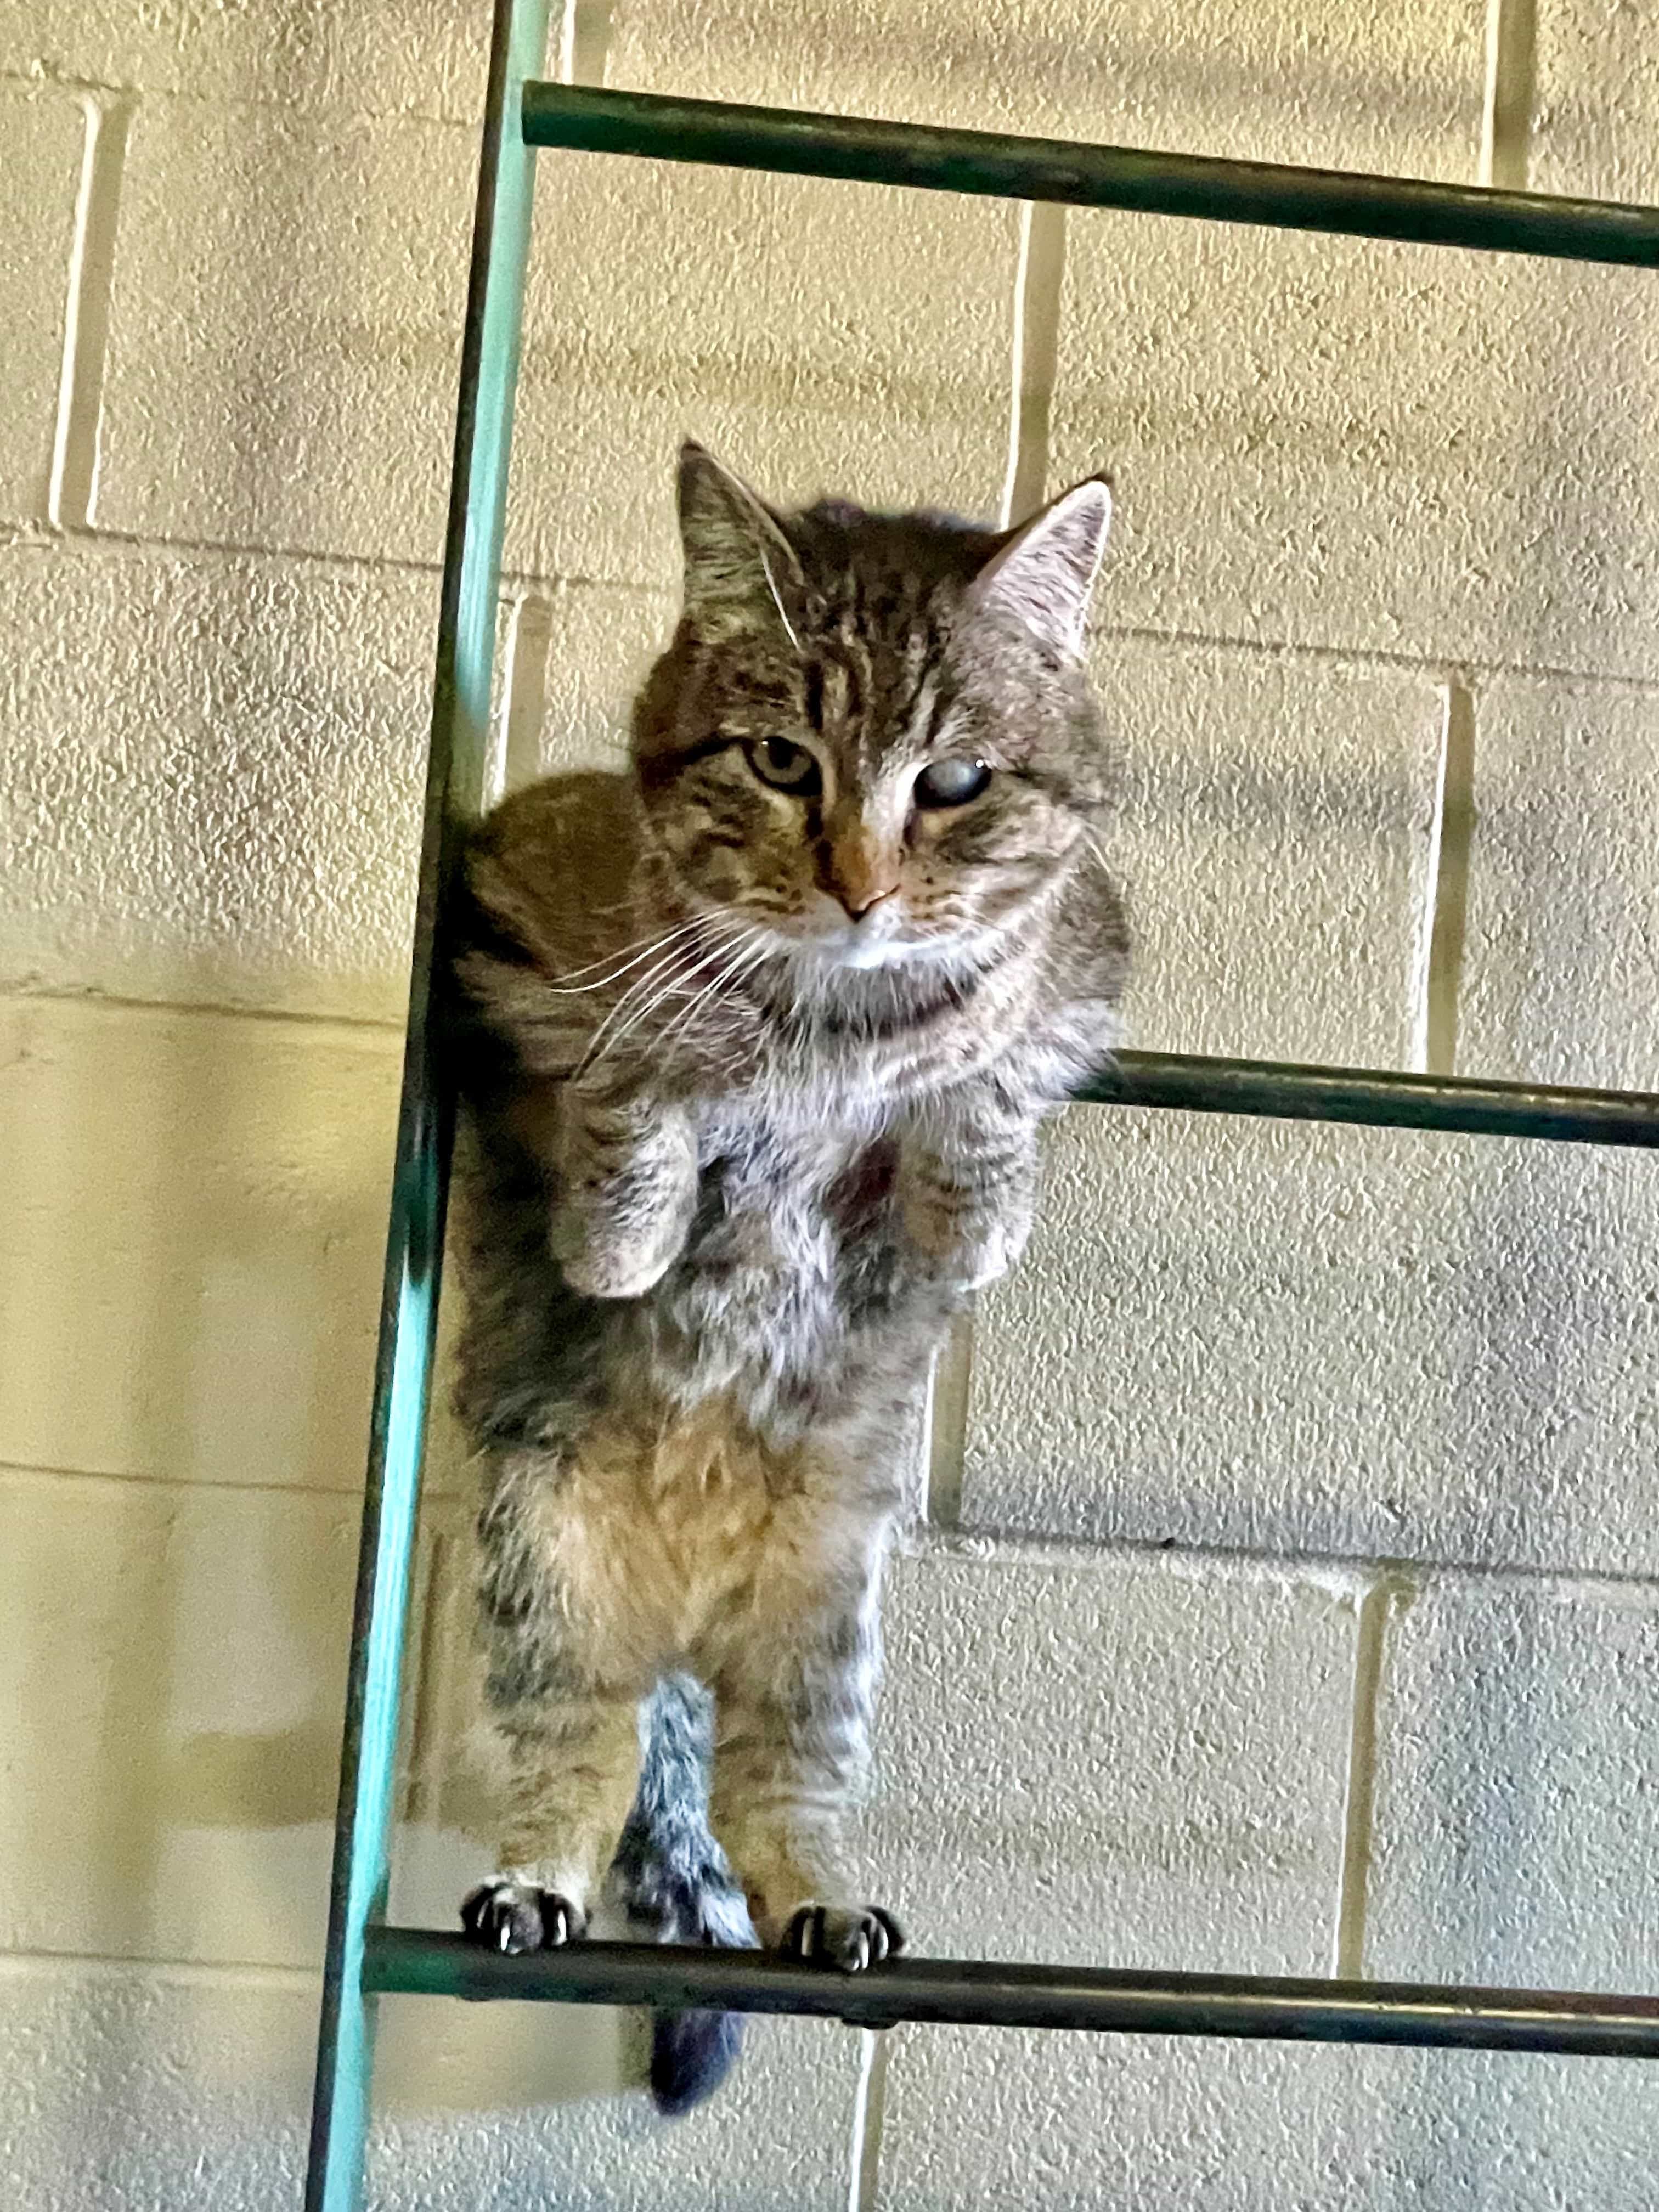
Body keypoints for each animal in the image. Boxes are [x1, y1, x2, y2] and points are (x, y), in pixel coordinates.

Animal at [451, 440, 1132, 2114]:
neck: (830, 1026)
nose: (861, 888)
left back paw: (823, 1902)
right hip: (544, 1583)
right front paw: (629, 1222)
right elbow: (632, 1075)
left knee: (779, 1797)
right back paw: (533, 1882)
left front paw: (970, 1206)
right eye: (778, 763)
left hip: (821, 1628)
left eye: (954, 783)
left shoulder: (1086, 954)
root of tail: (690, 1624)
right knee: (586, 1762)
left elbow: (998, 1065)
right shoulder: (510, 928)